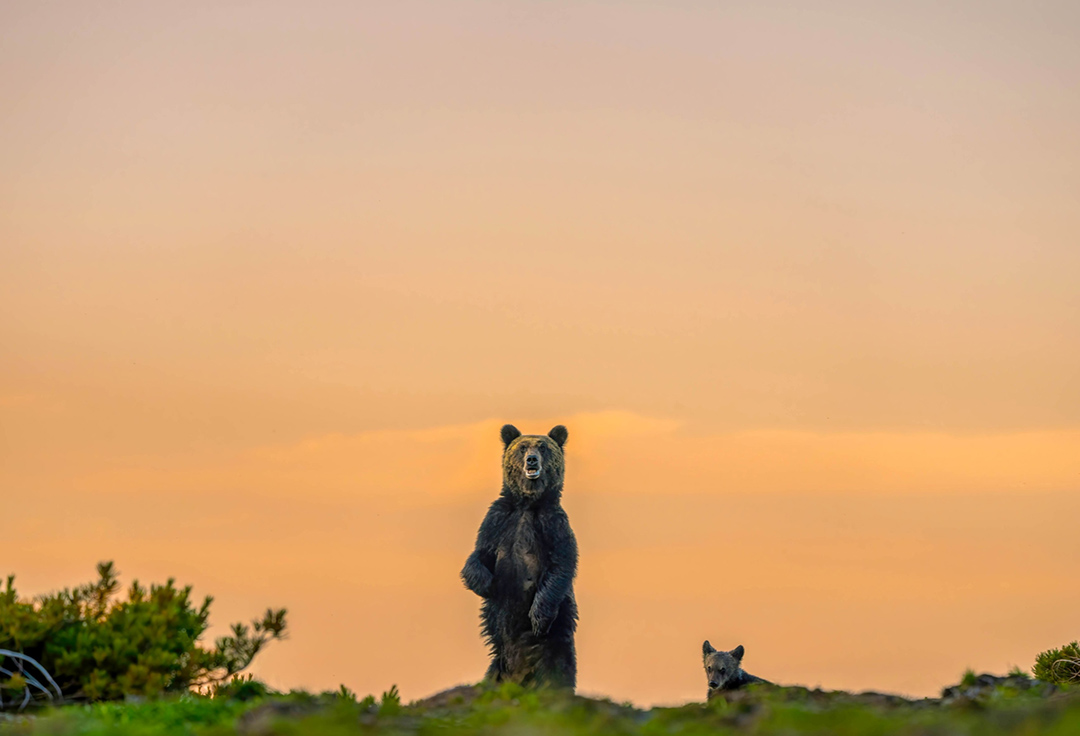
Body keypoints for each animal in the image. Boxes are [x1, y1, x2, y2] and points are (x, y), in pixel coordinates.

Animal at [464, 425, 583, 687]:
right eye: (522, 447)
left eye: (543, 447)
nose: (531, 460)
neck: (528, 504)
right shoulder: (499, 520)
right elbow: (478, 556)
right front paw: (486, 584)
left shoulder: (552, 524)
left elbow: (561, 566)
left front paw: (538, 618)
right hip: (497, 659)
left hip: (557, 638)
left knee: (557, 671)